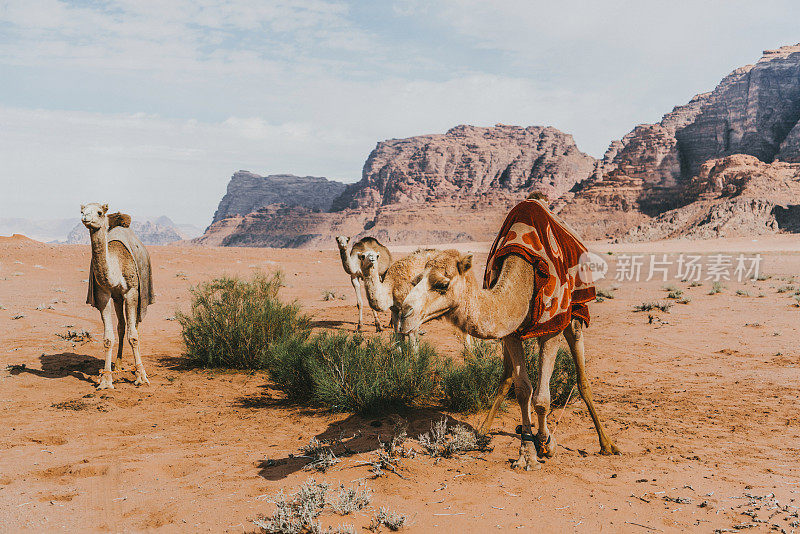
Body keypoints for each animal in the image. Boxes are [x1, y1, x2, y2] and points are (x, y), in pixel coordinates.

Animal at [82, 203, 154, 392]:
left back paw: (135, 369)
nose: (85, 218)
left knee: (134, 325)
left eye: (100, 212)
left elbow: (134, 336)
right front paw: (106, 380)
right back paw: (118, 365)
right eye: (82, 211)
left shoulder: (131, 292)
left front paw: (141, 377)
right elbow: (108, 338)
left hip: (136, 297)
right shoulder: (104, 294)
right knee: (122, 326)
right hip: (117, 298)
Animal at [400, 199, 620, 472]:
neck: (523, 277)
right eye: (416, 279)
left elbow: (542, 398)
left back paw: (606, 443)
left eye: (442, 284)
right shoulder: (511, 334)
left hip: (576, 314)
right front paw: (527, 453)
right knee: (507, 377)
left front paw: (546, 443)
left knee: (582, 378)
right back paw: (483, 431)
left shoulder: (552, 327)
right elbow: (524, 389)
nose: (404, 313)